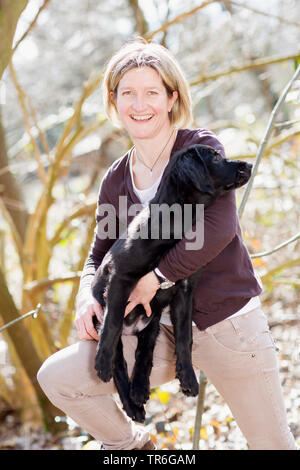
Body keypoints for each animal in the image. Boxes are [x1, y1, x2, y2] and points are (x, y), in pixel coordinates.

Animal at [91, 144, 251, 422]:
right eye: (216, 157)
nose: (249, 165)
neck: (178, 221)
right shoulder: (120, 277)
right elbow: (112, 324)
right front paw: (101, 361)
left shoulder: (185, 291)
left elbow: (185, 336)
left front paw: (187, 377)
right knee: (120, 362)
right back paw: (130, 403)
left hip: (152, 324)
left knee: (144, 354)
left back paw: (139, 390)